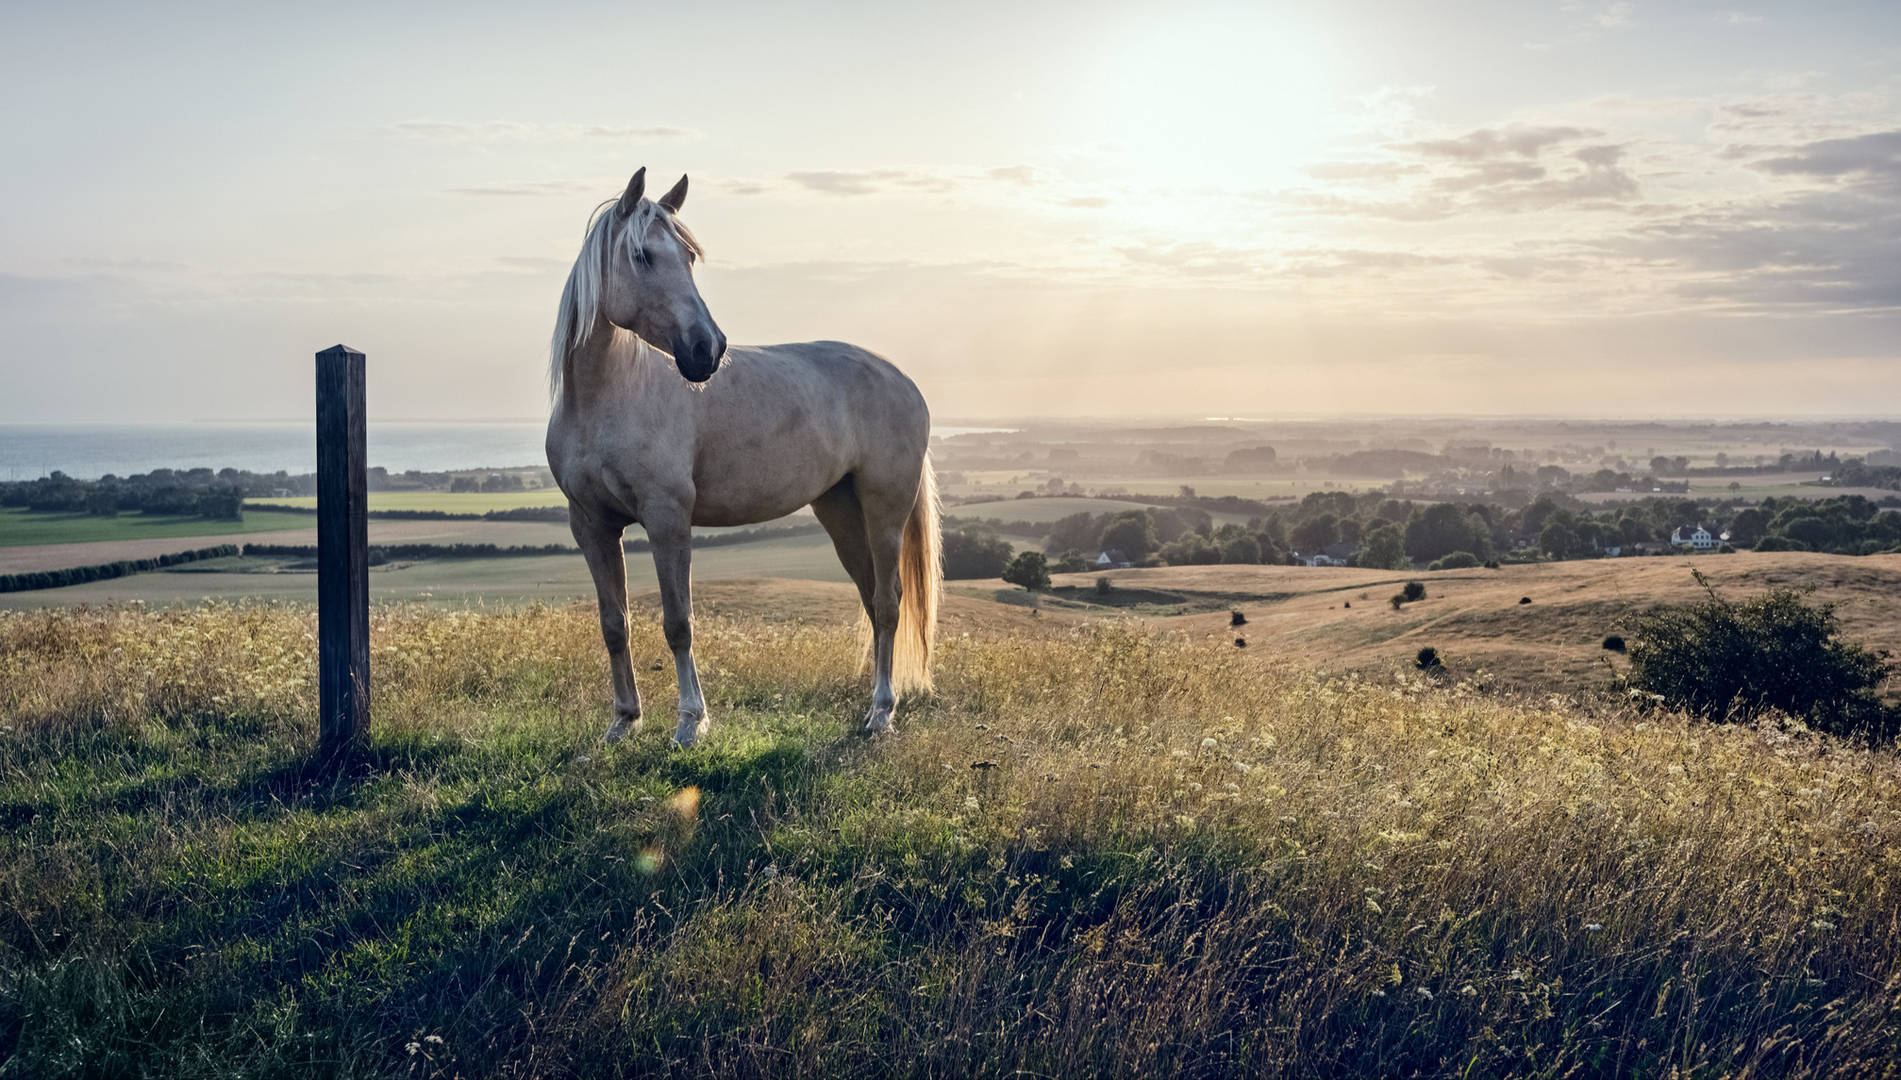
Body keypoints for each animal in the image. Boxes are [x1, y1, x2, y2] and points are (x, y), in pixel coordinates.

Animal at [545, 166, 941, 749]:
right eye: (642, 256)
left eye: (688, 257)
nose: (706, 350)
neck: (607, 398)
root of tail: (903, 380)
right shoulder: (591, 525)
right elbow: (614, 624)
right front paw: (623, 721)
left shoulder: (668, 520)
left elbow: (678, 622)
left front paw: (690, 723)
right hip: (841, 511)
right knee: (872, 600)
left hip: (884, 510)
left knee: (890, 602)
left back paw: (881, 713)